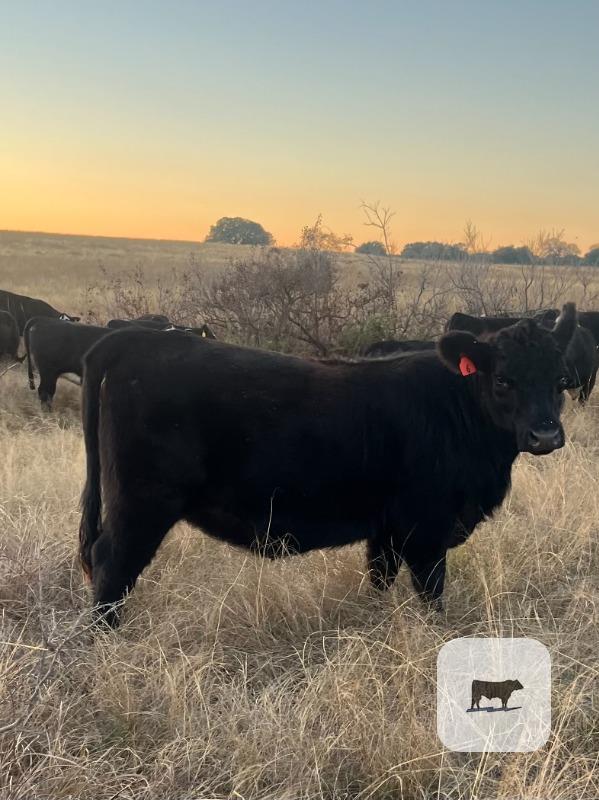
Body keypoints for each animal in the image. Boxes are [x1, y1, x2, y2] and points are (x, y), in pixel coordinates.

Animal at [78, 303, 578, 627]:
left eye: (561, 380)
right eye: (503, 379)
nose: (546, 435)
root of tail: (137, 340)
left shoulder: (386, 529)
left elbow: (379, 581)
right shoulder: (426, 528)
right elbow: (432, 594)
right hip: (142, 503)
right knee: (112, 564)